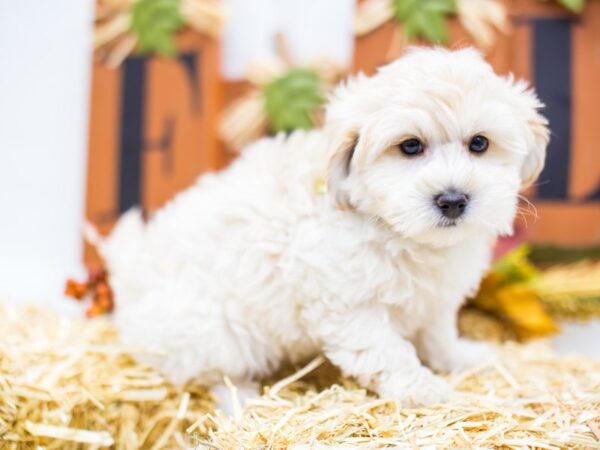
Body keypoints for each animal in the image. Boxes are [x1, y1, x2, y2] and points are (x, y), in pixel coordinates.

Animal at [101, 47, 552, 406]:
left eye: (479, 144)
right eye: (410, 146)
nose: (453, 200)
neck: (396, 231)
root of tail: (130, 282)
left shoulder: (434, 299)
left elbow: (437, 333)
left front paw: (460, 358)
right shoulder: (349, 305)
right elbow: (388, 352)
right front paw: (423, 389)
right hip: (214, 334)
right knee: (215, 373)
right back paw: (244, 400)